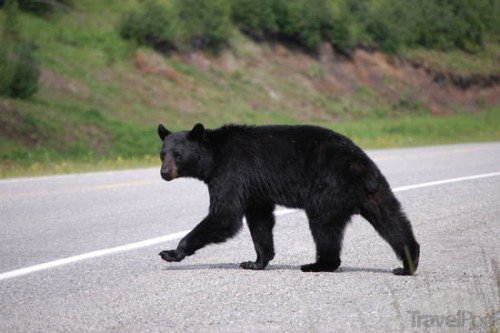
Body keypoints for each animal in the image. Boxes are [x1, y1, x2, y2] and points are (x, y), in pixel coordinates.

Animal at [158, 123, 420, 274]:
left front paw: (172, 253)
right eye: (162, 154)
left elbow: (225, 215)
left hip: (329, 186)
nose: (164, 172)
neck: (214, 156)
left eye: (178, 155)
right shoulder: (255, 190)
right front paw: (256, 262)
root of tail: (362, 169)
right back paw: (408, 264)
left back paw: (318, 265)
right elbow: (260, 220)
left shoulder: (232, 171)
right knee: (393, 221)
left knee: (323, 225)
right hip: (376, 193)